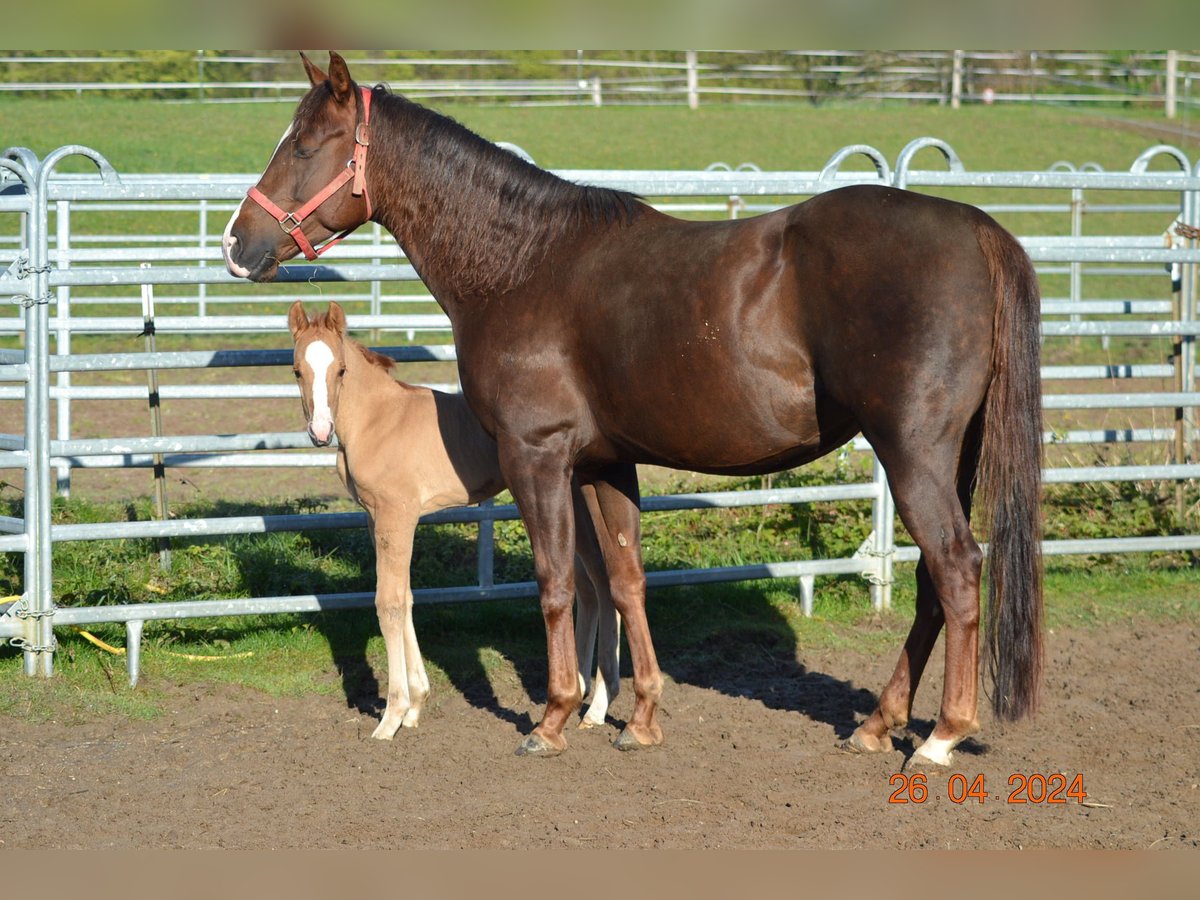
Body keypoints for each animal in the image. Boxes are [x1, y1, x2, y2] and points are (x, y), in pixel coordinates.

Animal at [288, 303, 619, 739]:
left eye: (341, 370)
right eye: (297, 370)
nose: (320, 432)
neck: (379, 420)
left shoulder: (397, 516)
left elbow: (388, 603)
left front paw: (391, 716)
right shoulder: (376, 519)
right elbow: (406, 597)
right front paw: (416, 706)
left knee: (602, 583)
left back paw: (597, 705)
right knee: (589, 588)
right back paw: (578, 692)